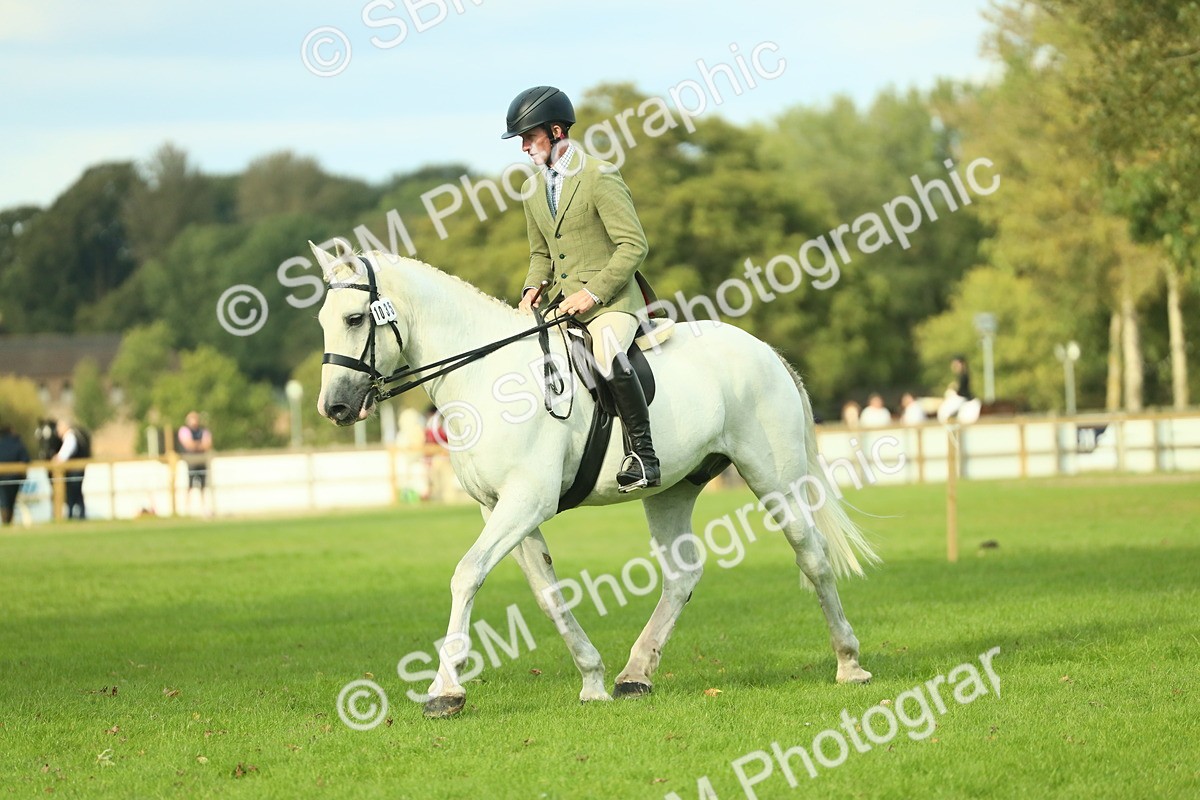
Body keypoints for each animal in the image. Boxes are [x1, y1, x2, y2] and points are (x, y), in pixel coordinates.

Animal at [310, 240, 879, 718]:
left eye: (355, 318)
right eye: (322, 320)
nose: (334, 408)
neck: (486, 379)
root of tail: (765, 350)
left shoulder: (526, 501)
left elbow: (467, 574)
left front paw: (445, 691)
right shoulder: (500, 507)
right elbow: (547, 594)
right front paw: (592, 679)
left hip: (773, 478)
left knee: (812, 555)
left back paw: (849, 663)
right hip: (671, 490)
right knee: (682, 574)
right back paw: (635, 674)